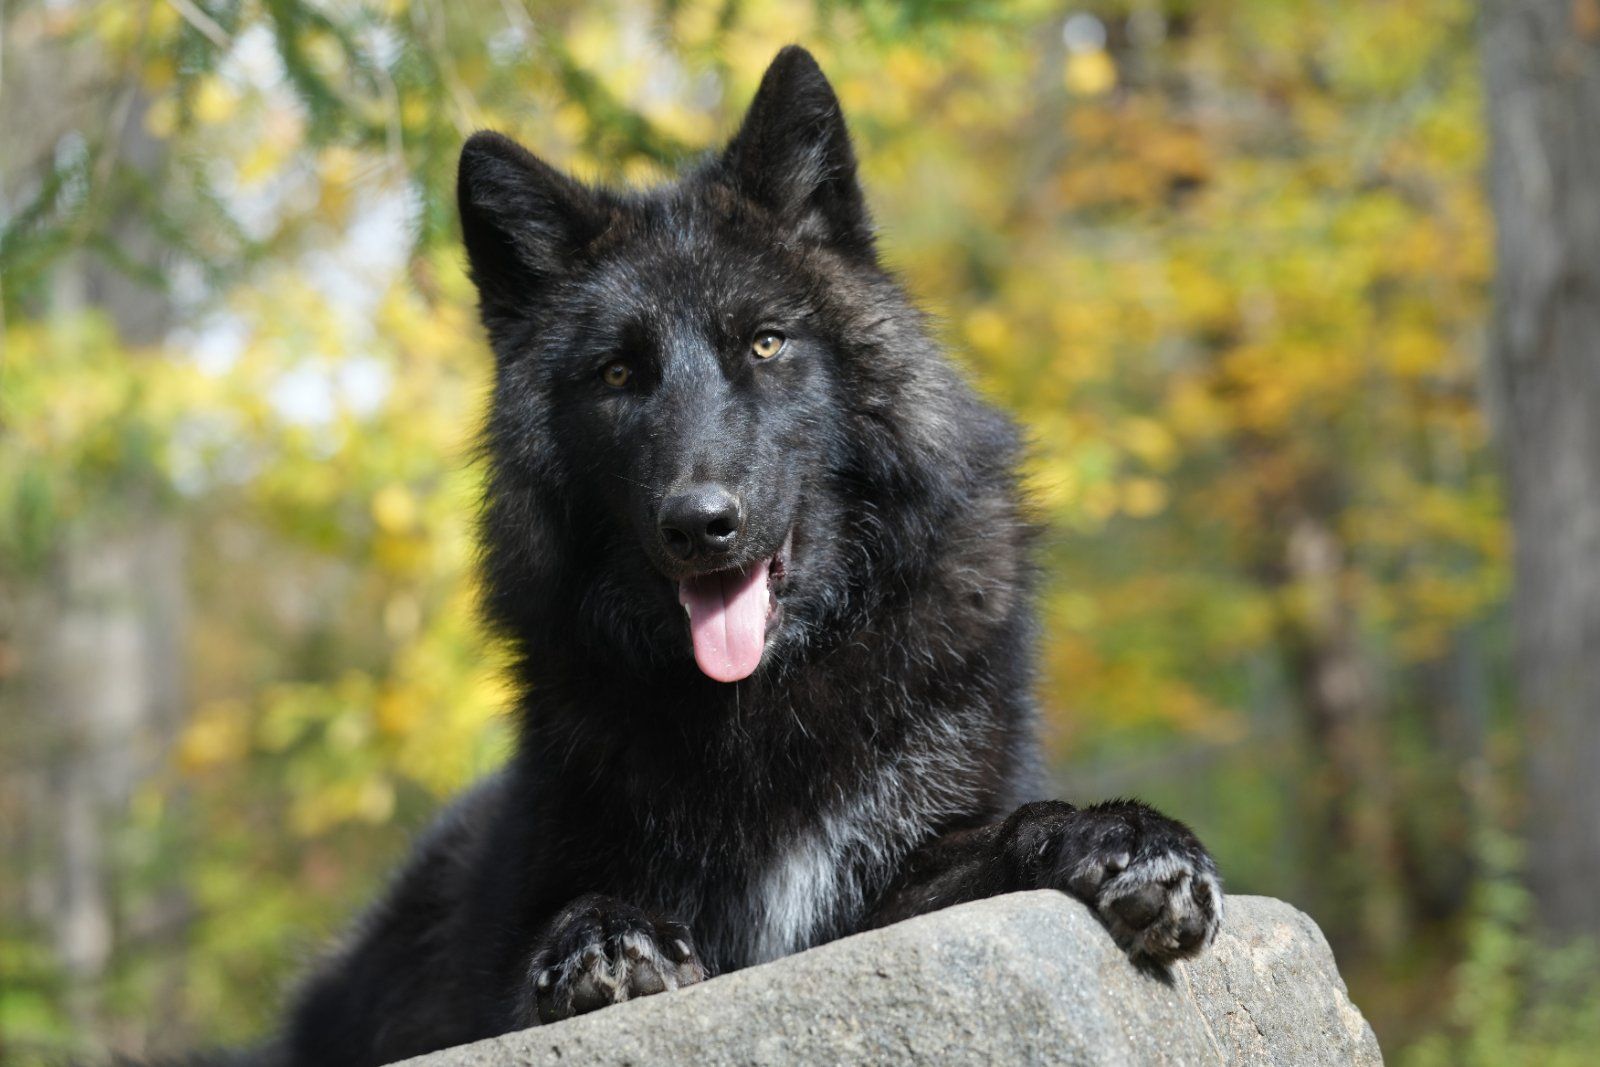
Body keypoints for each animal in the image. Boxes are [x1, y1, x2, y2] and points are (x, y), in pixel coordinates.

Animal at [278, 45, 1221, 1066]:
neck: (765, 704)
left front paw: (1113, 835)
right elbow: (555, 933)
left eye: (766, 342)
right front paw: (603, 935)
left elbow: (993, 839)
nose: (700, 523)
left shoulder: (880, 894)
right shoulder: (497, 978)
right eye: (618, 373)